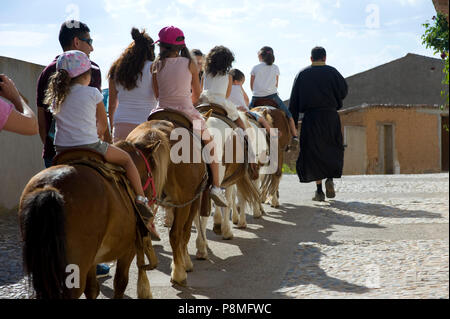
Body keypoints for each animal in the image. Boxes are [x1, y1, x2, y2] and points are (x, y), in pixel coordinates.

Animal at [18, 140, 165, 300]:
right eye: (153, 166)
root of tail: (49, 187)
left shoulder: (92, 261)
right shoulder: (128, 249)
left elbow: (92, 289)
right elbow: (120, 283)